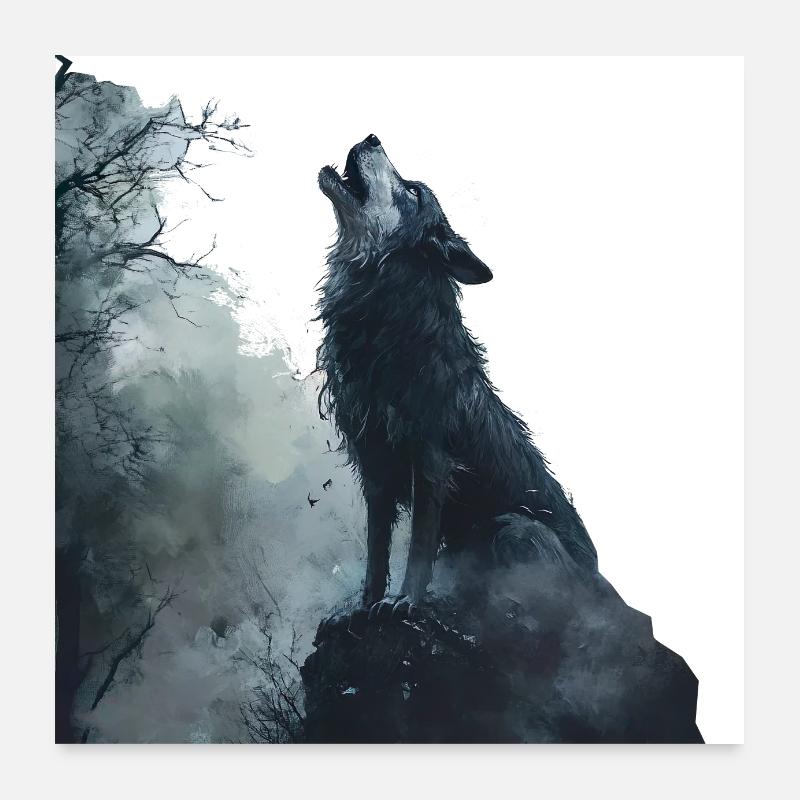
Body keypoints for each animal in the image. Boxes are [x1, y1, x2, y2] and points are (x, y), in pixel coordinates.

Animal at [317, 134, 598, 607]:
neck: (387, 331)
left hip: (514, 528)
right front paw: (366, 605)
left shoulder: (432, 460)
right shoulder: (374, 463)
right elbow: (377, 550)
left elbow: (418, 545)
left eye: (414, 193)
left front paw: (405, 601)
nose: (372, 136)